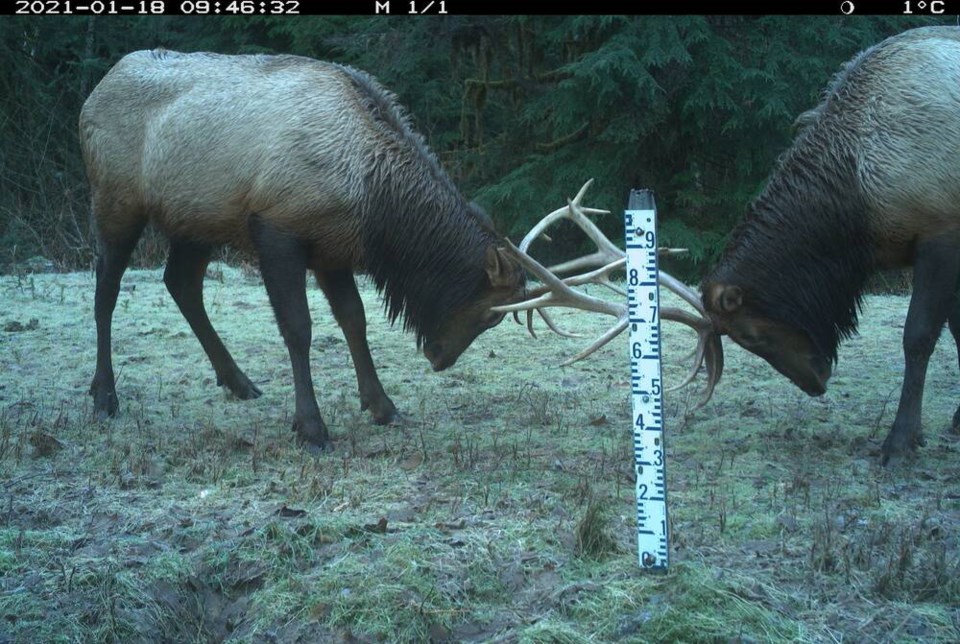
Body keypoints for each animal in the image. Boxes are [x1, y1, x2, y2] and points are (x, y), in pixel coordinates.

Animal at [80, 50, 532, 450]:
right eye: (492, 315)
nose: (438, 358)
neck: (370, 200)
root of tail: (94, 94)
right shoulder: (277, 229)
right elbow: (298, 328)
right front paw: (311, 428)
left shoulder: (333, 249)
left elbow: (354, 320)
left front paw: (382, 406)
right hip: (115, 200)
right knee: (106, 289)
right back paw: (104, 396)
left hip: (195, 220)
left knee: (181, 284)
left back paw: (238, 381)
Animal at [502, 26, 960, 468]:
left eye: (749, 334)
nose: (817, 383)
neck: (860, 208)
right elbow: (954, 330)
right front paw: (950, 423)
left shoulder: (940, 227)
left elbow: (918, 337)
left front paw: (900, 443)